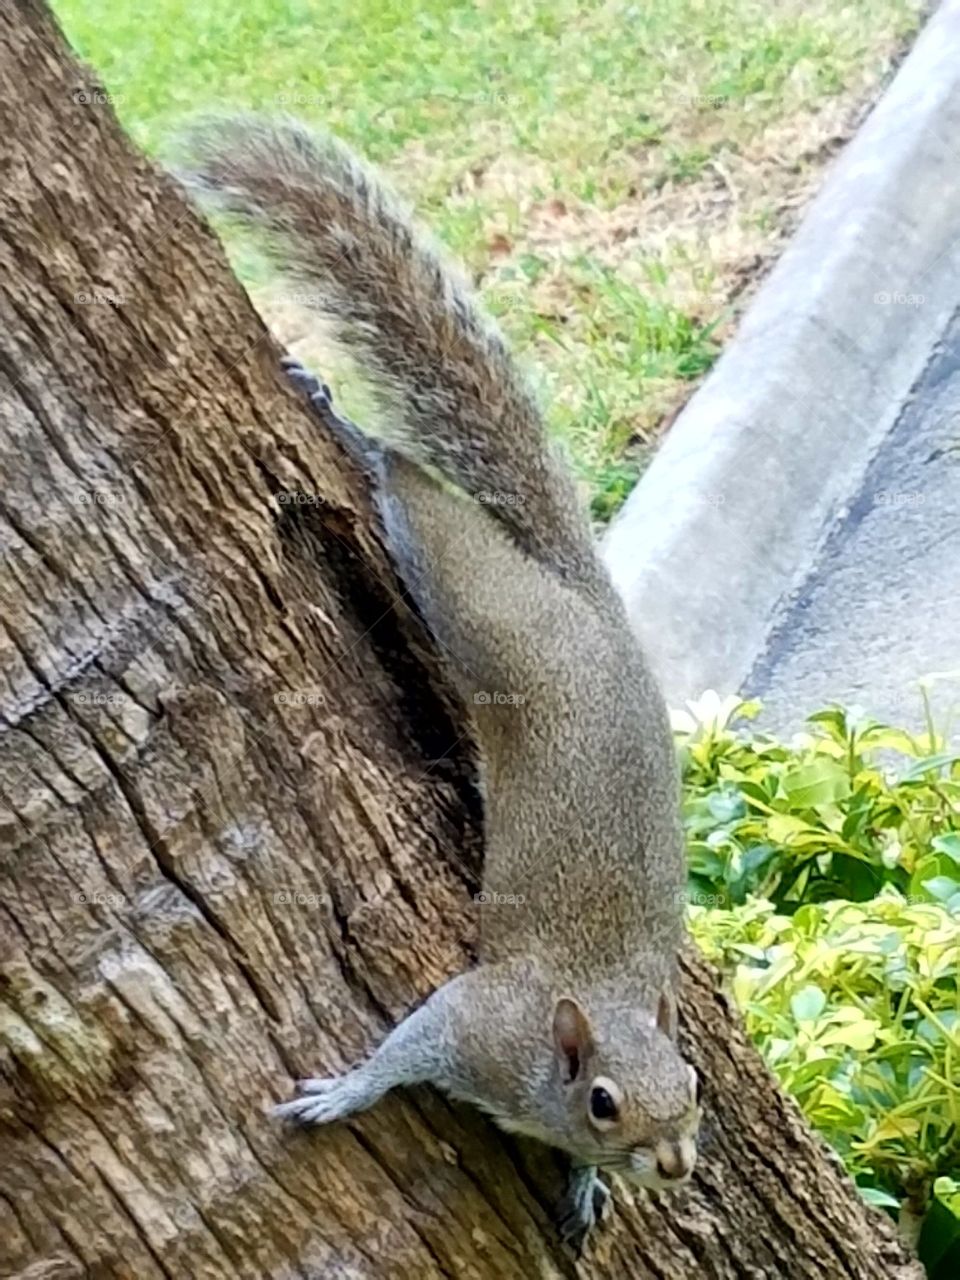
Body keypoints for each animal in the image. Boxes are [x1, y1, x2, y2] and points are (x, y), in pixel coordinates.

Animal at [180, 115, 701, 1250]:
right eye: (605, 1101)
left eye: (692, 1082)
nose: (678, 1162)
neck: (582, 1014)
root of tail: (595, 610)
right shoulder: (477, 1023)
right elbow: (406, 1044)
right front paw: (346, 1091)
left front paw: (583, 1189)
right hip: (477, 604)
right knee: (412, 489)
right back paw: (341, 425)